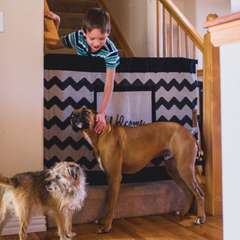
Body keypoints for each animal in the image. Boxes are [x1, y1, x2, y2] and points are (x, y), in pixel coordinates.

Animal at [69, 108, 204, 232]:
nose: (75, 116)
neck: (101, 134)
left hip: (184, 169)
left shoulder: (115, 177)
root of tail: (190, 134)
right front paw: (104, 220)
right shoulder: (109, 177)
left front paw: (106, 226)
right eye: (72, 114)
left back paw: (200, 218)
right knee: (189, 192)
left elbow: (111, 204)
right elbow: (108, 200)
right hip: (174, 171)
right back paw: (184, 212)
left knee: (199, 193)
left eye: (85, 111)